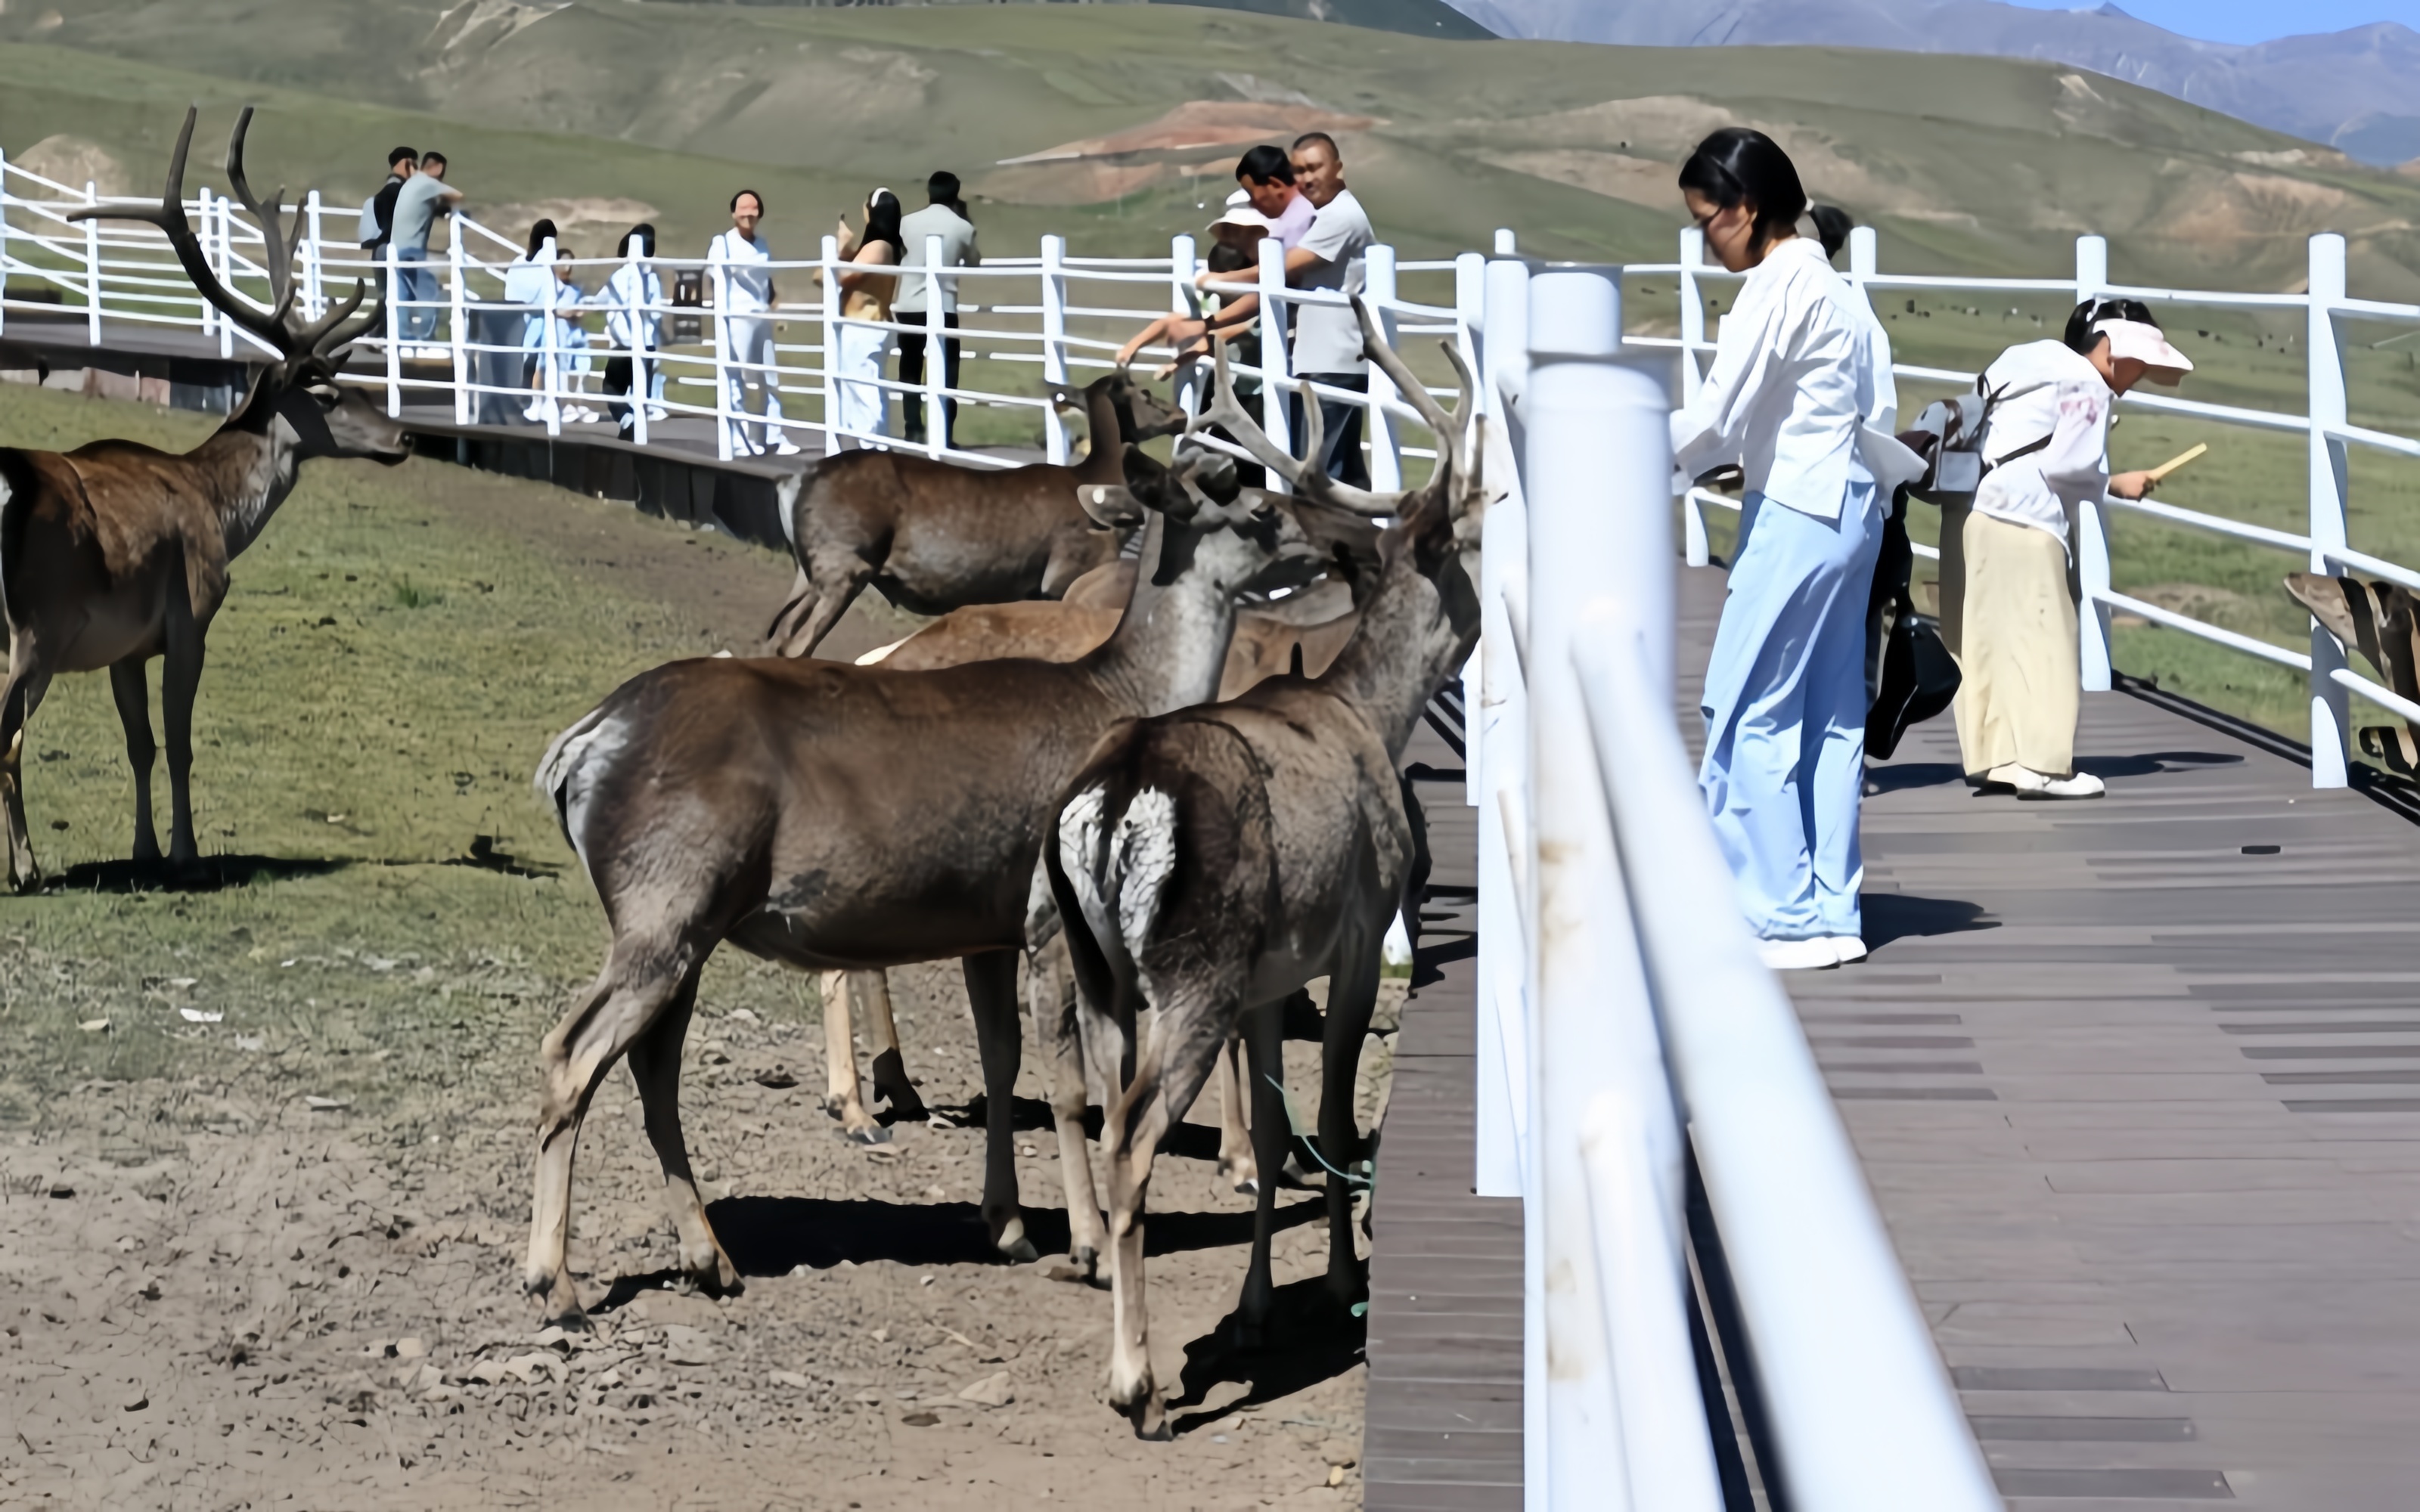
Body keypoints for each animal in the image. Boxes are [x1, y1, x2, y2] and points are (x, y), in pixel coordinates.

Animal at [0, 106, 404, 891]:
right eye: (328, 393)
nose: (403, 436)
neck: (221, 512)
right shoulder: (191, 614)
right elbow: (181, 741)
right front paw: (185, 855)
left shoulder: (125, 645)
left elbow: (140, 744)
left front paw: (144, 850)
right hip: (34, 625)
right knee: (5, 740)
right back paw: (26, 869)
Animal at [524, 443, 1398, 1323]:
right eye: (1259, 506)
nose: (1350, 542)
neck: (1121, 694)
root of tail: (575, 746)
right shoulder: (1049, 913)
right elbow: (1072, 1081)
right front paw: (1087, 1243)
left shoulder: (989, 927)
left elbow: (1001, 1060)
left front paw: (1007, 1224)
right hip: (663, 901)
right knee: (571, 1051)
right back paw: (556, 1282)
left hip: (688, 925)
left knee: (652, 1065)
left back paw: (711, 1258)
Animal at [762, 370, 1186, 657]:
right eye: (1146, 392)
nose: (1181, 413)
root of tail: (795, 480)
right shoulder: (1066, 574)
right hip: (844, 563)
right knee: (797, 645)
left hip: (808, 573)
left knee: (778, 635)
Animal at [1045, 307, 1486, 1437]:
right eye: (1475, 533)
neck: (1364, 710)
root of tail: (1113, 801)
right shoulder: (1356, 938)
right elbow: (1326, 1118)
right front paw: (1336, 1281)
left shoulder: (1264, 979)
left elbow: (1279, 1134)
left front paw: (1251, 1312)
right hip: (1190, 968)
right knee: (1134, 1136)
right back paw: (1139, 1387)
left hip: (1105, 966)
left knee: (1108, 1115)